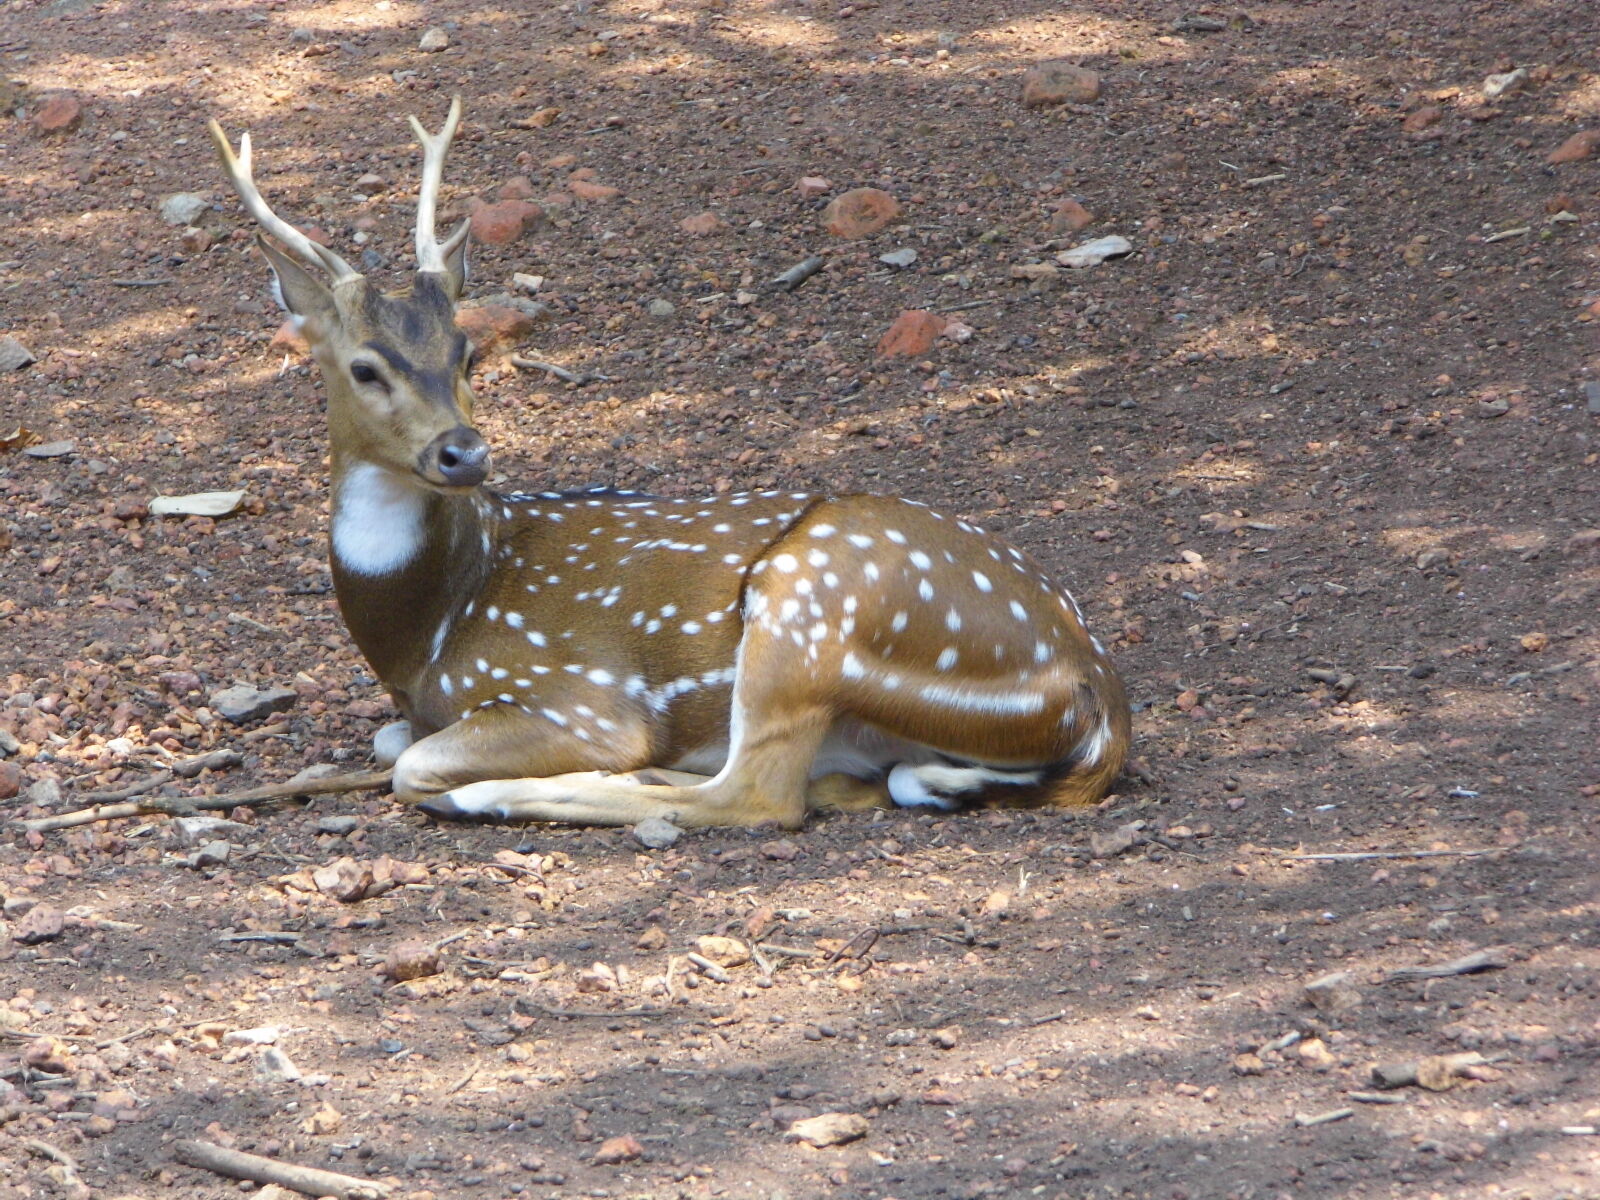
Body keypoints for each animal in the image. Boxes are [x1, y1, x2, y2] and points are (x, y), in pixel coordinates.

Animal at [206, 99, 1132, 830]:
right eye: (365, 366)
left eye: (465, 351)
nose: (464, 452)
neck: (426, 629)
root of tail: (1096, 701)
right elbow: (390, 735)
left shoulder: (578, 694)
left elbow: (412, 759)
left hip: (812, 603)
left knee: (755, 794)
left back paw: (522, 792)